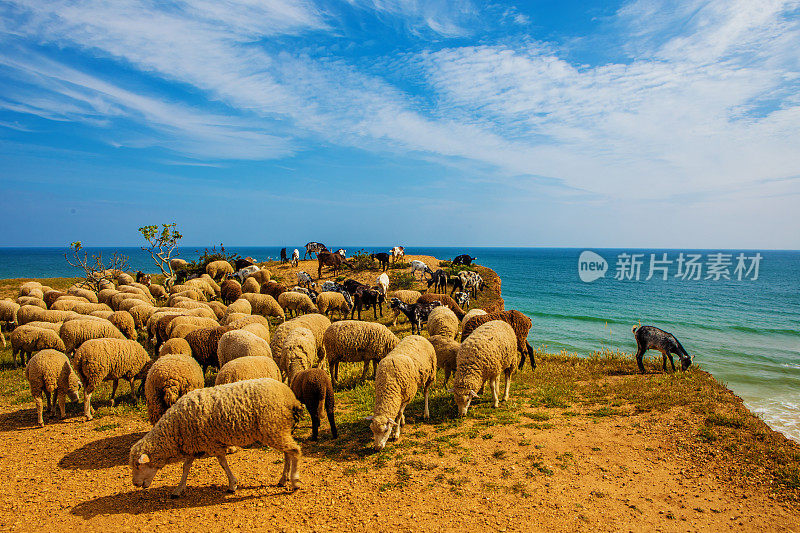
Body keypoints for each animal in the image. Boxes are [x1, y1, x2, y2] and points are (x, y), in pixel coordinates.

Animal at [128, 378, 304, 494]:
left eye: (138, 465)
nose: (135, 484)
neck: (175, 429)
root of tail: (290, 397)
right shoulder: (194, 444)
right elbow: (186, 467)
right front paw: (179, 488)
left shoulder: (211, 443)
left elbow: (223, 464)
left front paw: (232, 485)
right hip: (280, 429)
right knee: (288, 454)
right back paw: (283, 479)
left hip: (273, 428)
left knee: (294, 451)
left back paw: (295, 481)